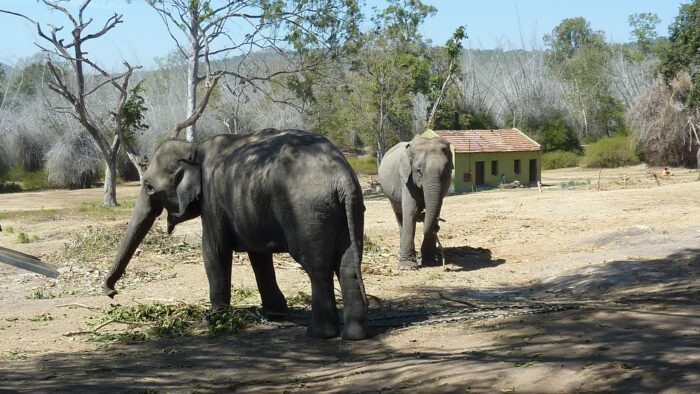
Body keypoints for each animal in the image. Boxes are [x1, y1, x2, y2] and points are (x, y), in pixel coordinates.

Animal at [102, 129, 372, 338]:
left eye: (148, 187)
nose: (111, 293)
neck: (195, 149)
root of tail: (342, 177)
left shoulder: (213, 199)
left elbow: (213, 249)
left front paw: (214, 317)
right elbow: (258, 255)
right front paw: (276, 312)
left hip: (307, 210)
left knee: (317, 266)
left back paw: (319, 333)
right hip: (348, 207)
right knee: (348, 264)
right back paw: (355, 335)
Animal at [378, 134, 454, 270]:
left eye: (446, 171)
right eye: (418, 170)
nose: (437, 227)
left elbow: (436, 209)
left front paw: (429, 262)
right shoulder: (406, 179)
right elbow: (410, 212)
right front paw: (407, 267)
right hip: (391, 197)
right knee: (400, 217)